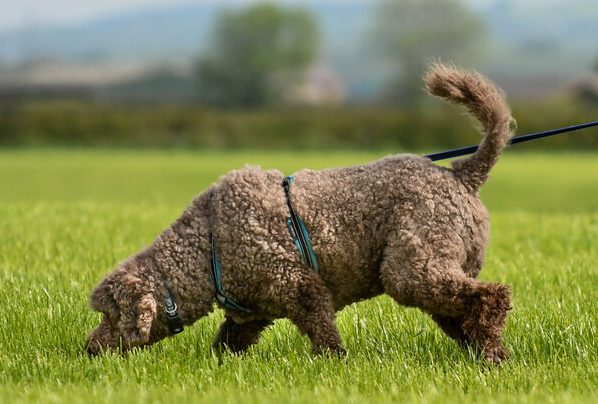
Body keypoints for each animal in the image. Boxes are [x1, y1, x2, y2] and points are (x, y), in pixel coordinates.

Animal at [86, 64, 516, 364]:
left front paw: (333, 363)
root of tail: (463, 173)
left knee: (491, 297)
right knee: (463, 313)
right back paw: (484, 352)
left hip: (411, 268)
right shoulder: (250, 313)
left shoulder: (299, 284)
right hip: (439, 270)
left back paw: (492, 356)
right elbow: (227, 342)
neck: (206, 245)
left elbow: (321, 330)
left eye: (110, 315)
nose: (89, 349)